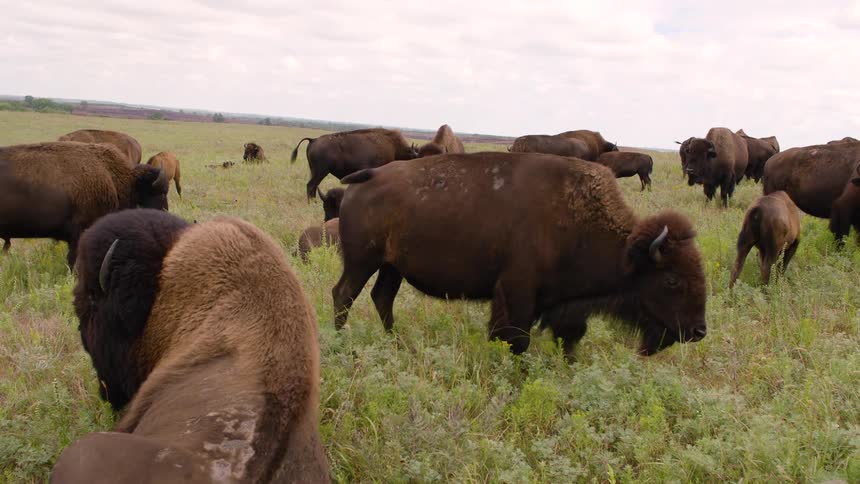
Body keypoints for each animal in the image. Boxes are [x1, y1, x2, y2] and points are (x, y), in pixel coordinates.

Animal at [332, 152, 707, 356]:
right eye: (672, 280)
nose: (699, 331)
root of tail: (366, 178)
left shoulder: (566, 306)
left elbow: (568, 338)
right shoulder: (517, 294)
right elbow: (515, 339)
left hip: (390, 266)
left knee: (382, 297)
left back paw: (395, 341)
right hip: (361, 262)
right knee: (344, 295)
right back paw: (340, 341)